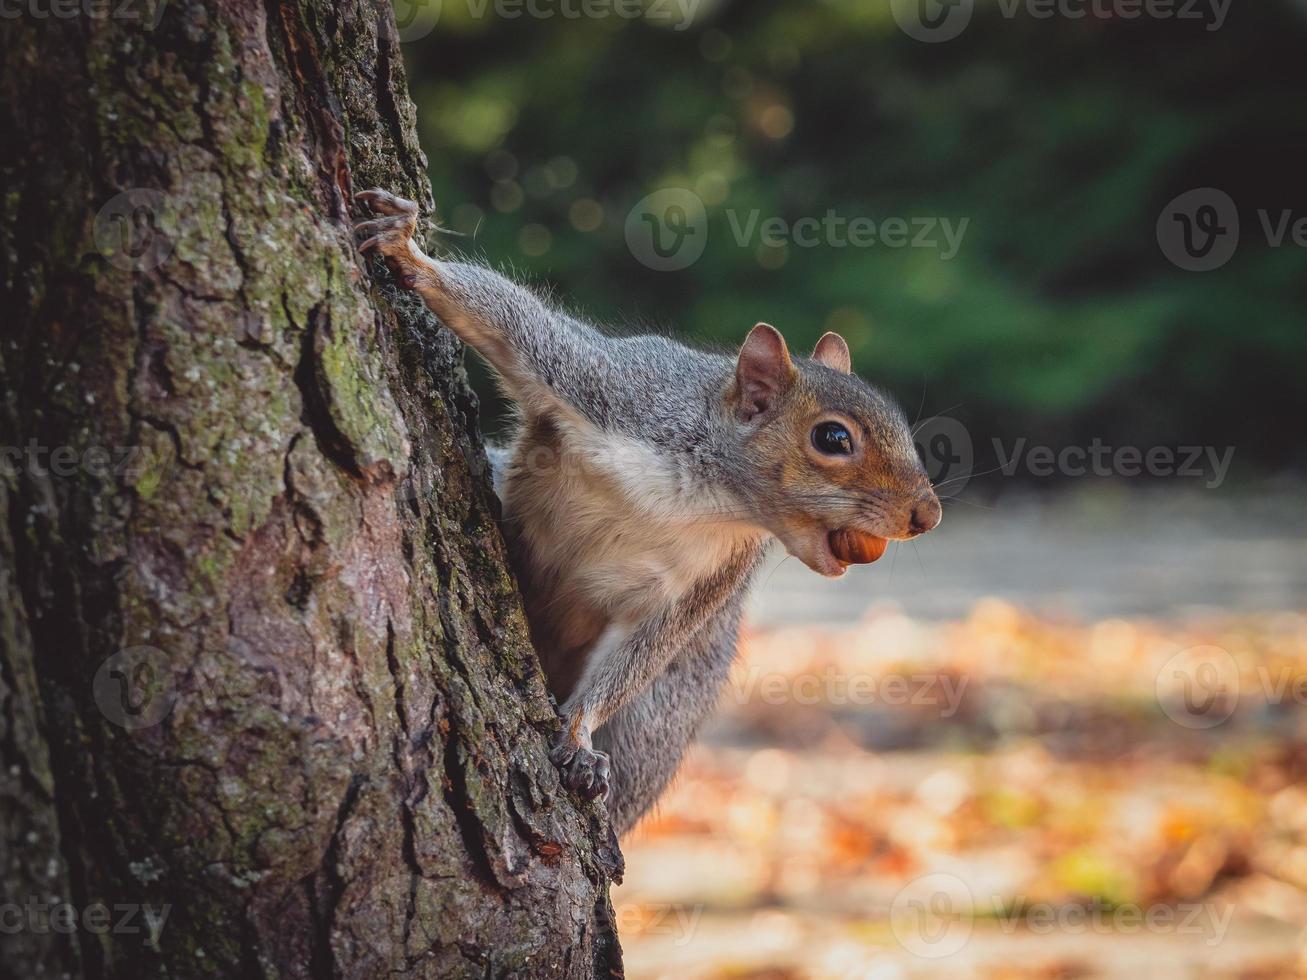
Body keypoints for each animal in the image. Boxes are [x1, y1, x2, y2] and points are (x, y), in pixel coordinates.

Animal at [352, 189, 935, 836]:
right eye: (832, 438)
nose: (928, 515)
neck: (700, 495)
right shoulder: (609, 387)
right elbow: (512, 320)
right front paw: (409, 253)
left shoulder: (709, 580)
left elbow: (641, 654)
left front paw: (578, 733)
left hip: (658, 720)